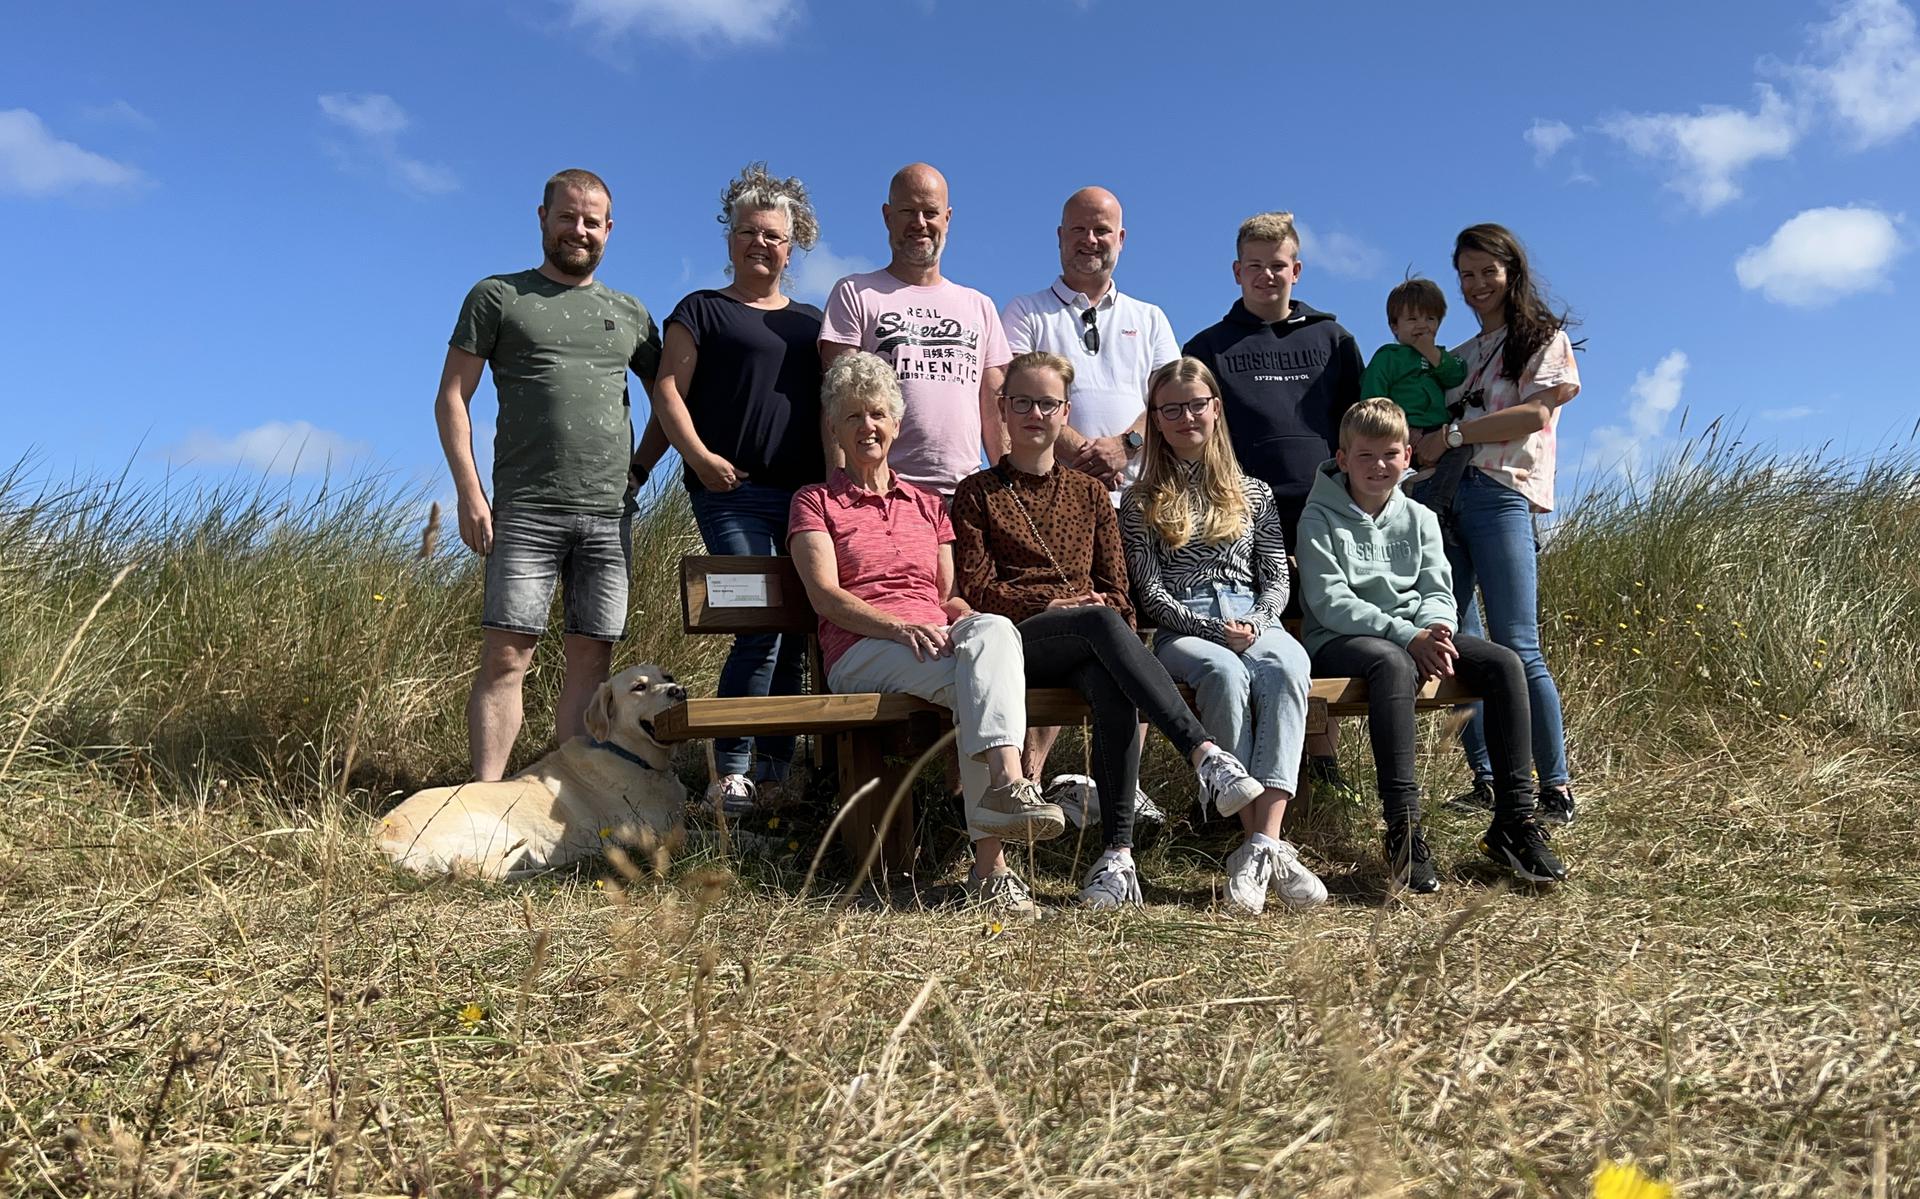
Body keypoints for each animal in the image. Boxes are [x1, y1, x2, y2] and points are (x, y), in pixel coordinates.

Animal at [370, 660, 687, 876]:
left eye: (667, 677)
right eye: (639, 687)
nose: (679, 690)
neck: (626, 753)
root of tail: (383, 836)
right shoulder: (650, 832)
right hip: (498, 830)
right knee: (474, 868)